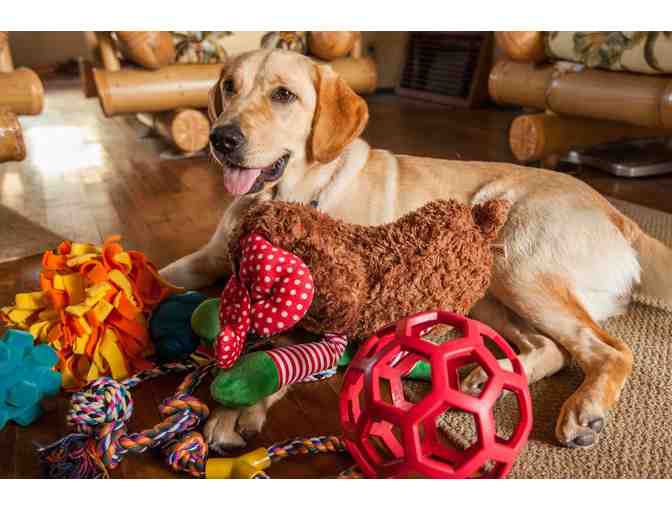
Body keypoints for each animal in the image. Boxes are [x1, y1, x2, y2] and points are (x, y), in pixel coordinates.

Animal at [160, 49, 672, 452]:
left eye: (283, 95)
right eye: (229, 87)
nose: (221, 139)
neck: (294, 194)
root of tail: (618, 214)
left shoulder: (342, 309)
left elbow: (281, 353)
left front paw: (234, 408)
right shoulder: (206, 259)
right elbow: (164, 276)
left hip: (516, 263)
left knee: (608, 350)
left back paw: (584, 408)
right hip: (487, 292)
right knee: (554, 349)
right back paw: (490, 377)